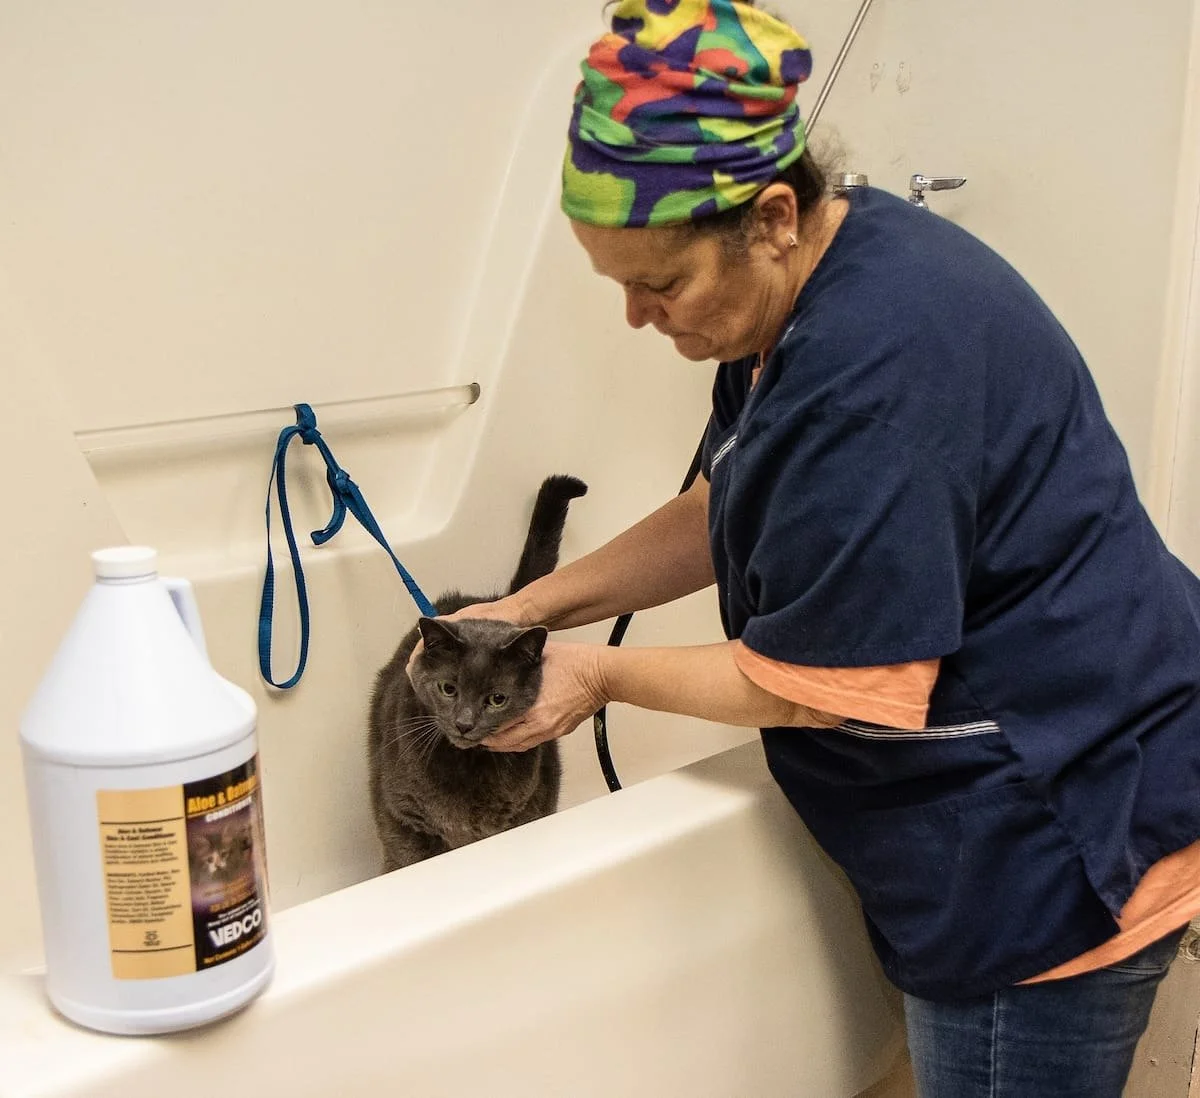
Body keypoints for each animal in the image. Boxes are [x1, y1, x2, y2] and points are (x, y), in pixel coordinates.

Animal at [367, 474, 588, 872]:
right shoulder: (402, 818)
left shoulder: (527, 811)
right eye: (448, 689)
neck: (465, 762)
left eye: (497, 699)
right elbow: (404, 856)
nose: (464, 723)